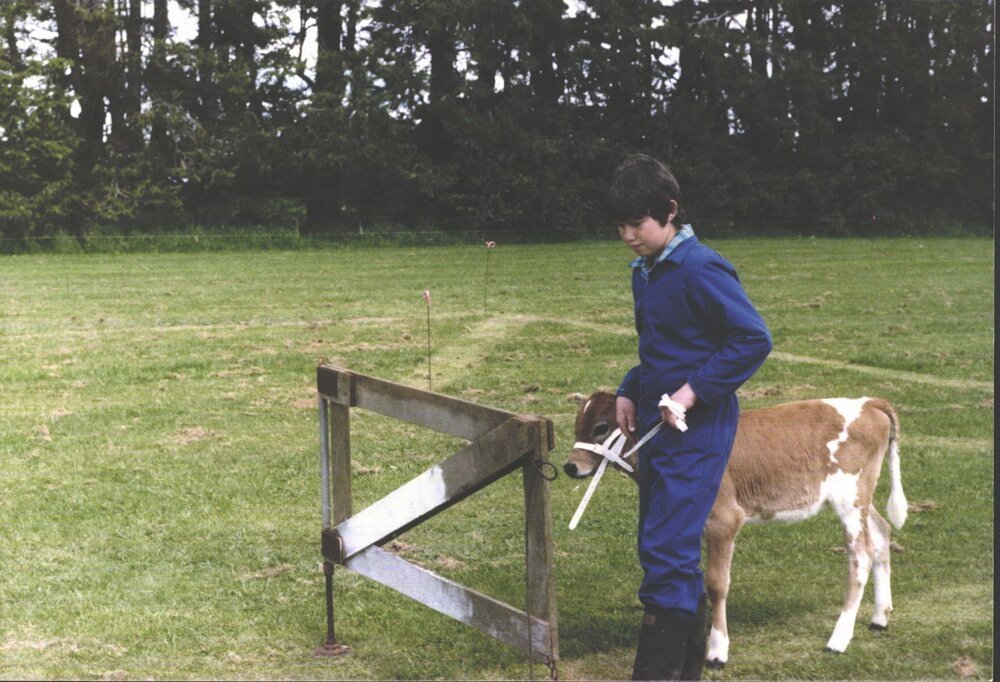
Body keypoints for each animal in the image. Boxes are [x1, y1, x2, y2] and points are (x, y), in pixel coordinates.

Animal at [563, 391, 908, 668]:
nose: (570, 466)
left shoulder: (724, 519)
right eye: (577, 425)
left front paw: (717, 650)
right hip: (861, 498)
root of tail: (869, 402)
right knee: (881, 533)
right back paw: (880, 617)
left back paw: (839, 638)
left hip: (850, 497)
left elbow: (717, 584)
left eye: (601, 427)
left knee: (860, 555)